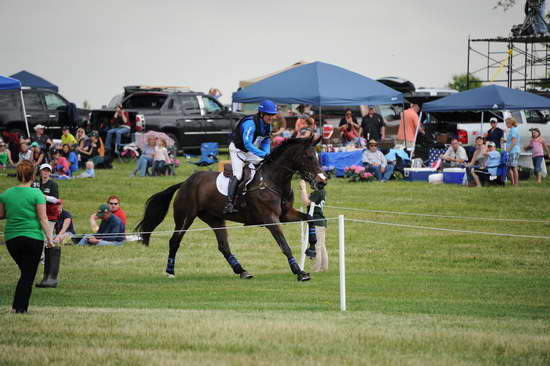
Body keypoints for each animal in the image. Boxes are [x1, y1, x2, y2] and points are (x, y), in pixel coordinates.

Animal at [136, 137, 330, 280]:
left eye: (317, 156)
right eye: (308, 157)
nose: (322, 181)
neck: (274, 180)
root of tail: (185, 182)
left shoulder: (286, 214)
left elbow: (311, 218)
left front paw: (312, 249)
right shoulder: (271, 219)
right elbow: (285, 245)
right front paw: (299, 272)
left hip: (215, 219)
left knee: (223, 246)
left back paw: (242, 271)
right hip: (185, 217)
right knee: (174, 241)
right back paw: (170, 271)